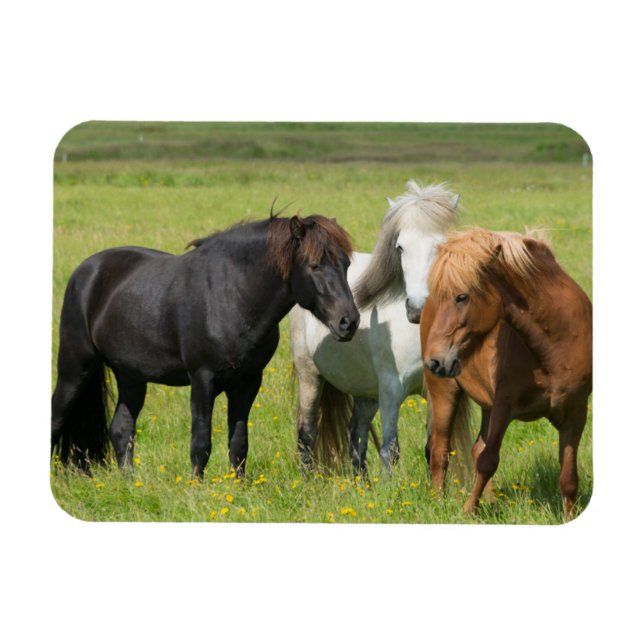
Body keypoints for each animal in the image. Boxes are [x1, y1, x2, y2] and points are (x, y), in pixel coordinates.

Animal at [51, 212, 360, 478]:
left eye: (346, 265)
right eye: (315, 265)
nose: (349, 321)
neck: (232, 296)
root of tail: (85, 272)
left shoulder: (248, 382)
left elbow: (239, 443)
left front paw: (238, 488)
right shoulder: (202, 379)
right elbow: (201, 443)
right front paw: (196, 487)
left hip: (131, 376)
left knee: (121, 429)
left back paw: (130, 482)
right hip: (75, 368)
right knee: (57, 416)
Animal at [290, 181, 472, 476]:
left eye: (441, 245)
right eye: (400, 247)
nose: (417, 308)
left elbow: (433, 449)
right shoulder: (391, 390)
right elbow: (390, 450)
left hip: (366, 391)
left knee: (356, 433)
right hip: (311, 377)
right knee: (306, 435)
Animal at [420, 228, 592, 519]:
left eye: (462, 297)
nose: (434, 360)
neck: (555, 346)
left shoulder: (576, 412)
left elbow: (568, 477)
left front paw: (569, 517)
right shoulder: (504, 405)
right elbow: (488, 460)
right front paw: (468, 511)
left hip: (485, 404)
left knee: (475, 448)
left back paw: (491, 501)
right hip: (445, 392)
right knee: (440, 450)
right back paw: (438, 501)